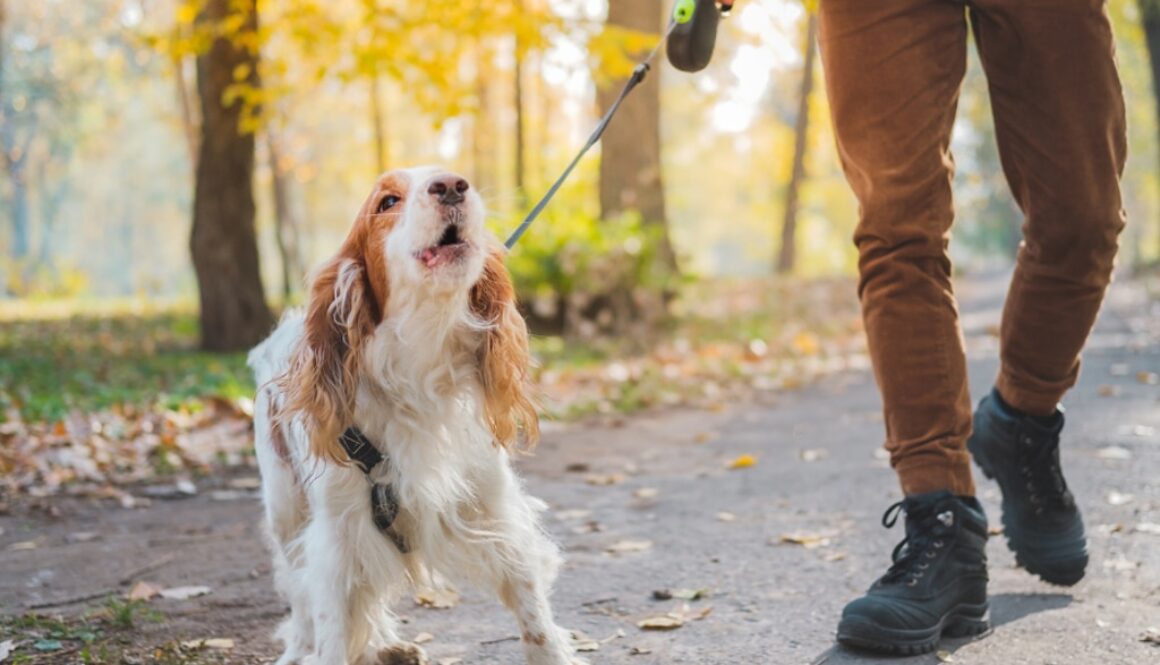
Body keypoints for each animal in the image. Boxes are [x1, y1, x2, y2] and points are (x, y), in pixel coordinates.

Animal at [248, 167, 584, 663]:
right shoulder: (337, 536)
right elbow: (331, 625)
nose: (452, 186)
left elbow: (533, 614)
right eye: (388, 202)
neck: (419, 366)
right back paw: (303, 650)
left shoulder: (493, 508)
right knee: (301, 601)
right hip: (285, 511)